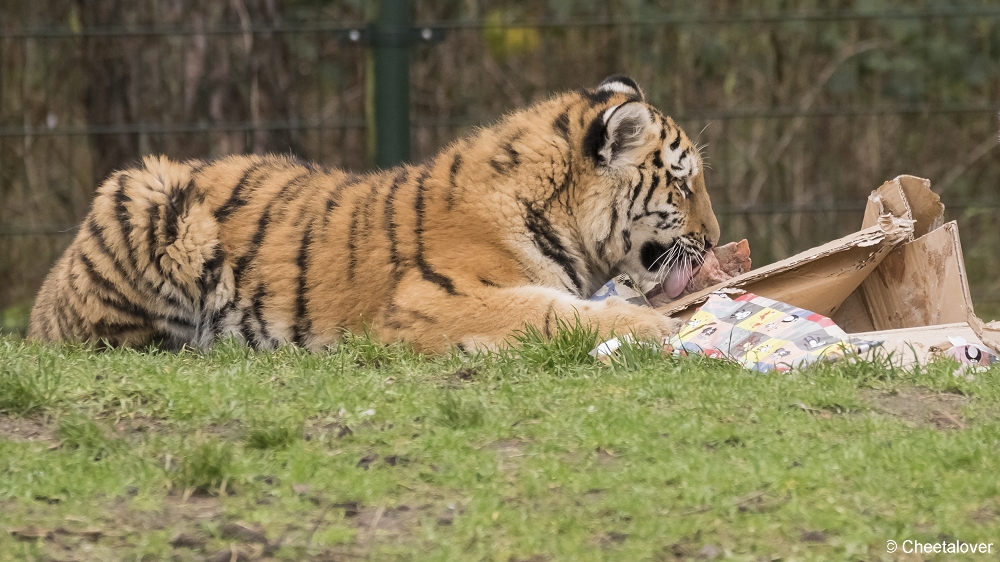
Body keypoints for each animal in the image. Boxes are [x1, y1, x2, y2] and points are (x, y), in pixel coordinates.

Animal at [27, 76, 724, 352]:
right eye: (684, 184)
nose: (716, 239)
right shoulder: (438, 298)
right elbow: (554, 311)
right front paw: (652, 327)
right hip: (146, 193)